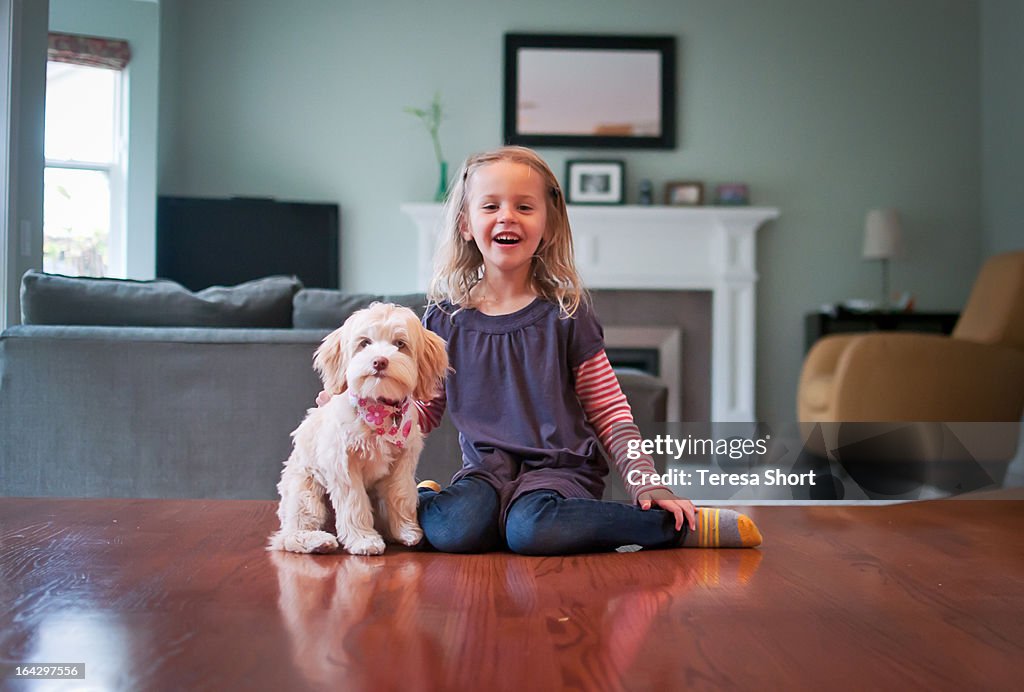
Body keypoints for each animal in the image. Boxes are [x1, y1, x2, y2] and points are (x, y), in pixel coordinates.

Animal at [268, 303, 448, 556]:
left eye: (400, 344)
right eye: (365, 343)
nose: (379, 361)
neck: (378, 408)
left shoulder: (403, 460)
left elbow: (401, 493)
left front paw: (407, 531)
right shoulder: (343, 464)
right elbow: (354, 503)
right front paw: (364, 540)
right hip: (304, 491)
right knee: (290, 535)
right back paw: (317, 541)